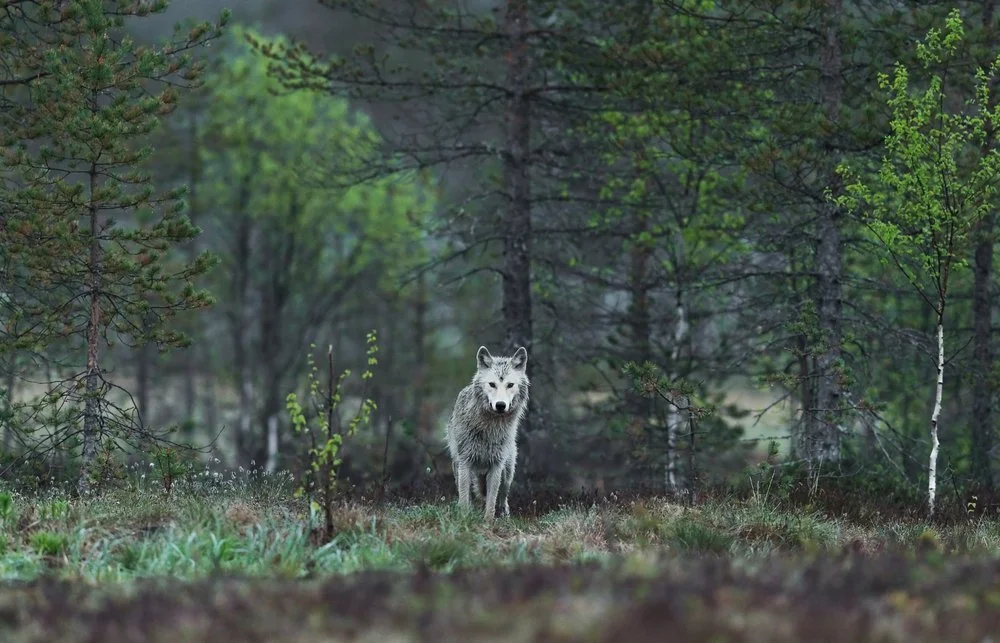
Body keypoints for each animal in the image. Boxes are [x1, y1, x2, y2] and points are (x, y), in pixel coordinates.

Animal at [445, 345, 529, 521]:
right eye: (492, 384)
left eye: (510, 385)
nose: (500, 405)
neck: (489, 428)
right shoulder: (465, 462)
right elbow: (465, 498)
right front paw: (464, 519)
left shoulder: (496, 466)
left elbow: (491, 501)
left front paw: (488, 522)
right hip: (458, 467)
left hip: (507, 473)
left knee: (502, 497)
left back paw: (504, 515)